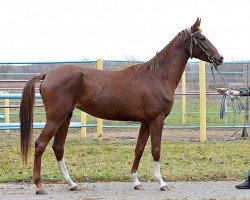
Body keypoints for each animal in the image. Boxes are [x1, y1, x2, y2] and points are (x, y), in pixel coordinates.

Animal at [19, 18, 223, 194]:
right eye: (202, 38)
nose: (220, 58)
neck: (158, 76)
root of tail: (47, 74)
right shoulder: (157, 120)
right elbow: (156, 149)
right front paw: (161, 182)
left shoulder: (145, 122)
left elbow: (139, 149)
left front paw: (136, 181)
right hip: (56, 117)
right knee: (40, 144)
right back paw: (39, 185)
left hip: (66, 117)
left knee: (58, 147)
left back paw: (71, 184)